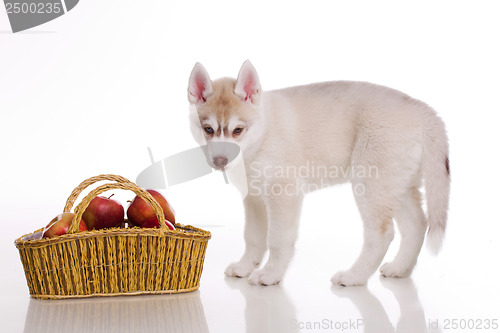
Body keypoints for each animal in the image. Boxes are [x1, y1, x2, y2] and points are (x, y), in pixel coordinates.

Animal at [187, 60, 450, 286]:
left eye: (238, 130)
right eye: (208, 129)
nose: (220, 161)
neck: (262, 134)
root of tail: (424, 110)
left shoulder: (284, 194)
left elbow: (277, 239)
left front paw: (271, 274)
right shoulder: (254, 198)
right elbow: (253, 236)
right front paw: (244, 267)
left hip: (371, 184)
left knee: (382, 233)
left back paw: (354, 276)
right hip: (397, 186)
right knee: (417, 224)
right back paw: (400, 268)